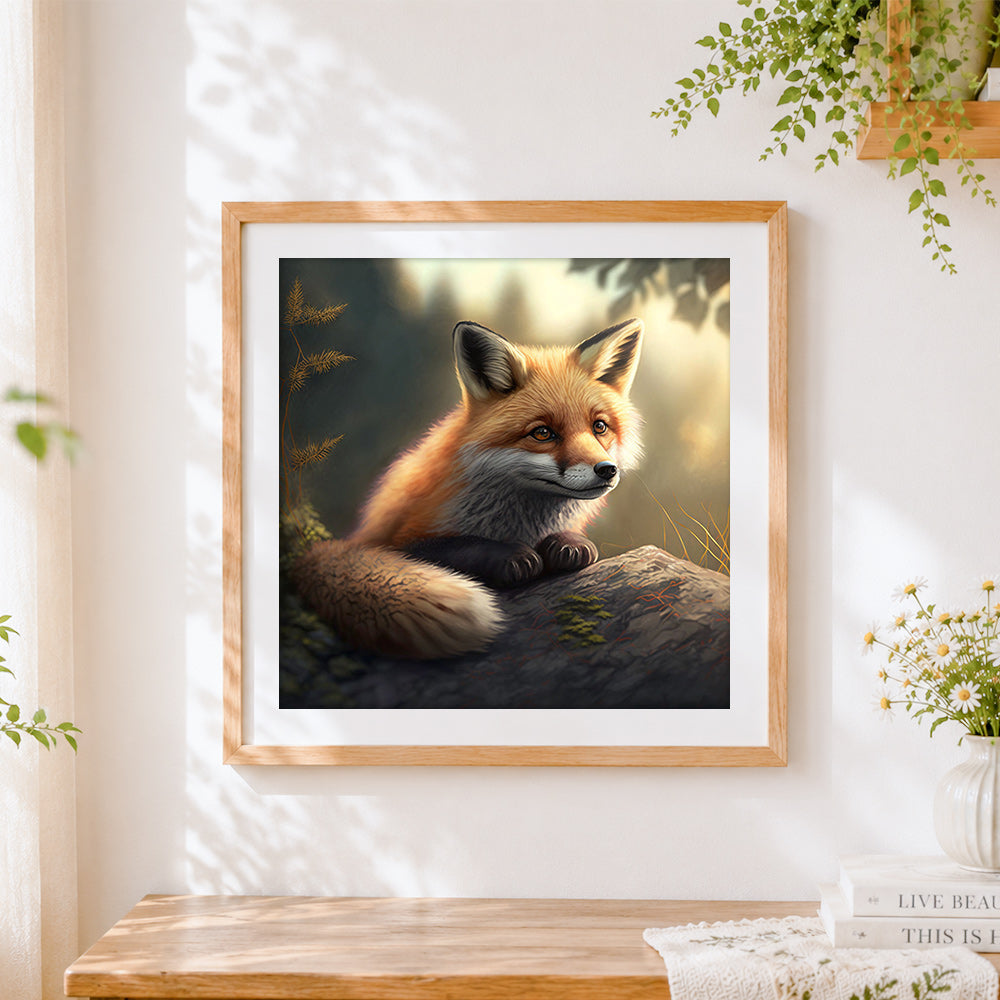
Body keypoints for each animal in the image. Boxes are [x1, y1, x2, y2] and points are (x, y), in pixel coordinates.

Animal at [291, 317, 644, 659]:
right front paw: (510, 556)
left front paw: (569, 544)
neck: (523, 523)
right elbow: (462, 546)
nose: (606, 470)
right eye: (543, 433)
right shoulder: (402, 539)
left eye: (599, 427)